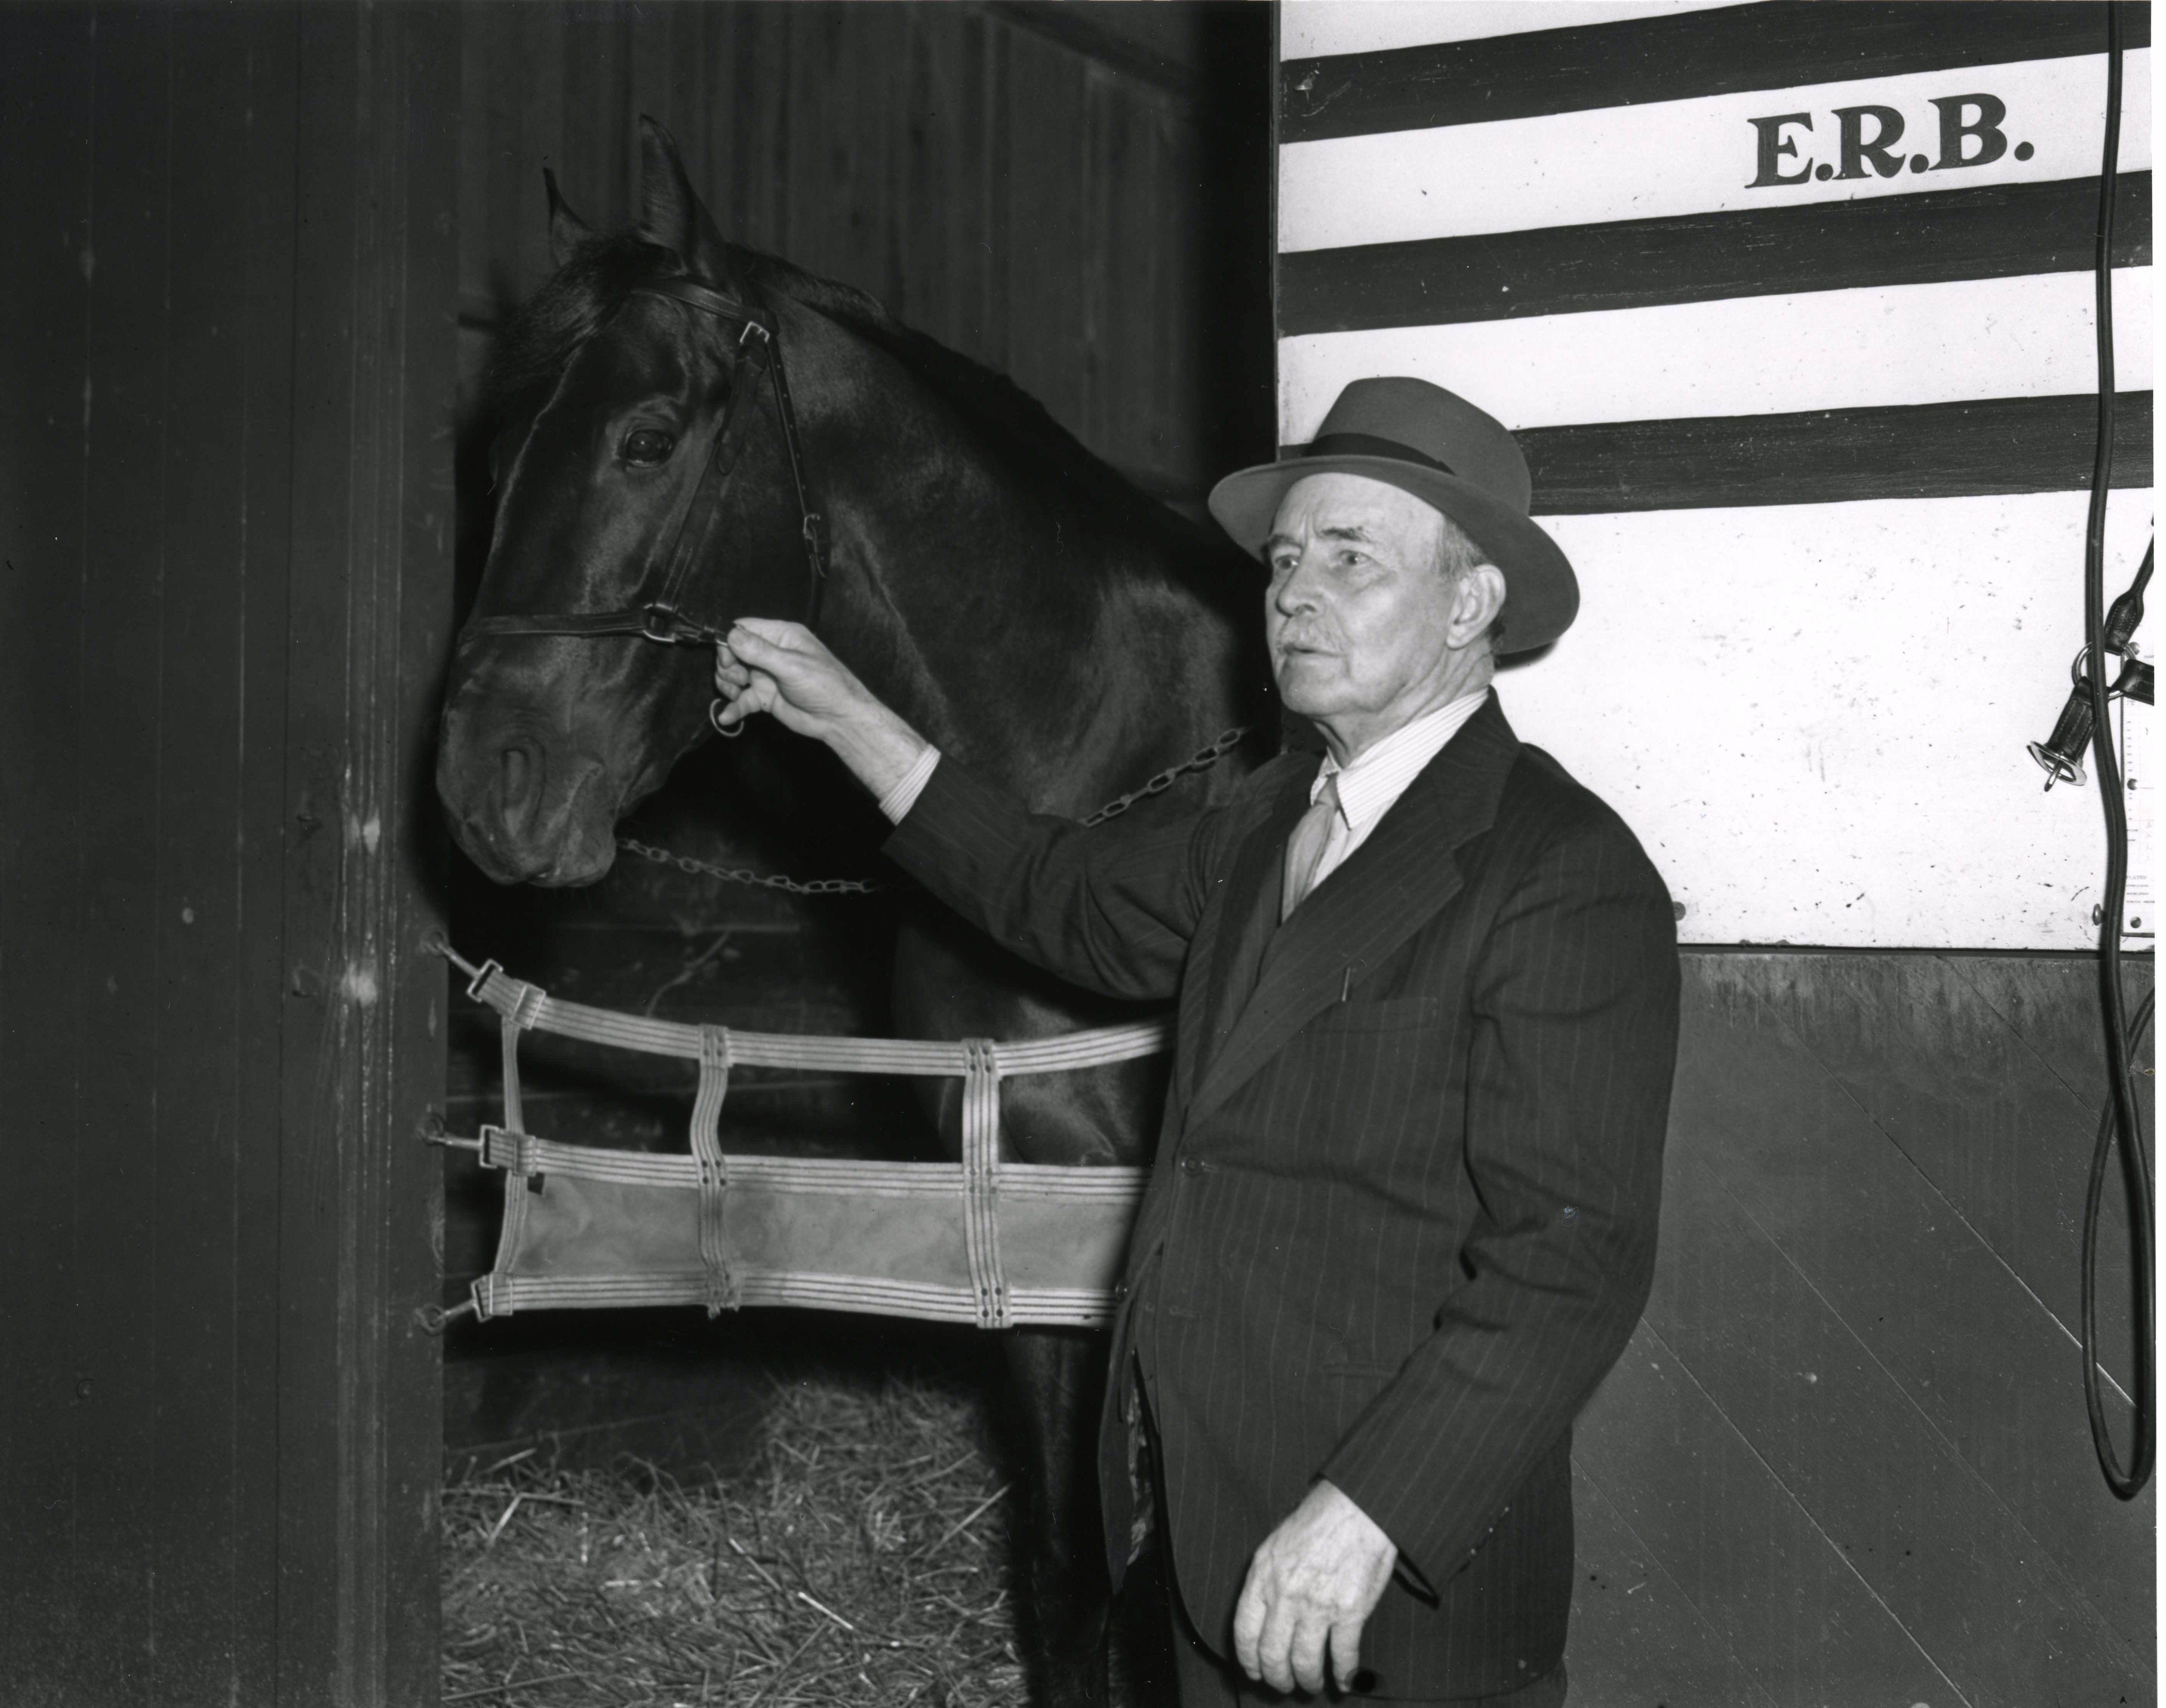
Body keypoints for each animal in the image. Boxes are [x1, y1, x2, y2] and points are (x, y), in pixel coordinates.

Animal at [437, 123, 1265, 1706]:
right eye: (498, 454)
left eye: (647, 439)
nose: (485, 787)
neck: (1102, 776)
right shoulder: (1037, 1239)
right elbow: (1076, 1580)